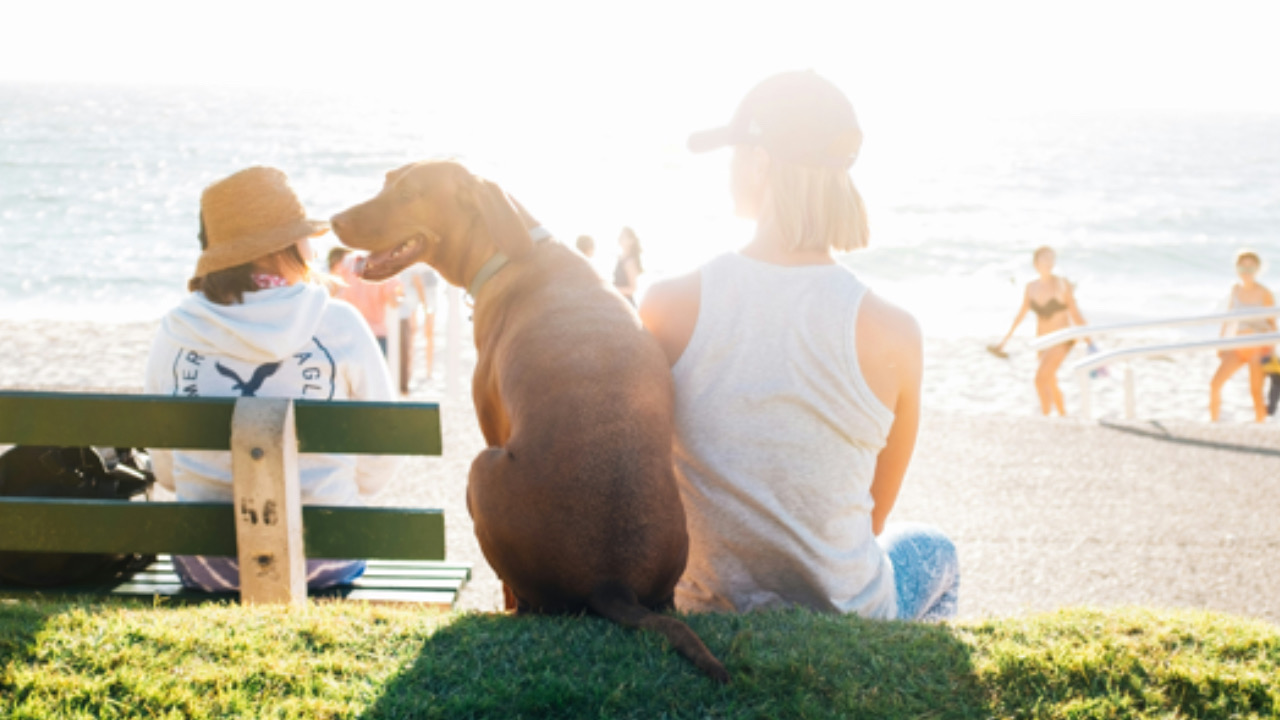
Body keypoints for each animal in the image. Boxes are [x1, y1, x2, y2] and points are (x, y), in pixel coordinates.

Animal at [330, 159, 732, 681]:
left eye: (409, 193)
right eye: (385, 183)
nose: (333, 220)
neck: (512, 249)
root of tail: (612, 582)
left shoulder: (491, 423)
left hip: (481, 469)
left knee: (523, 598)